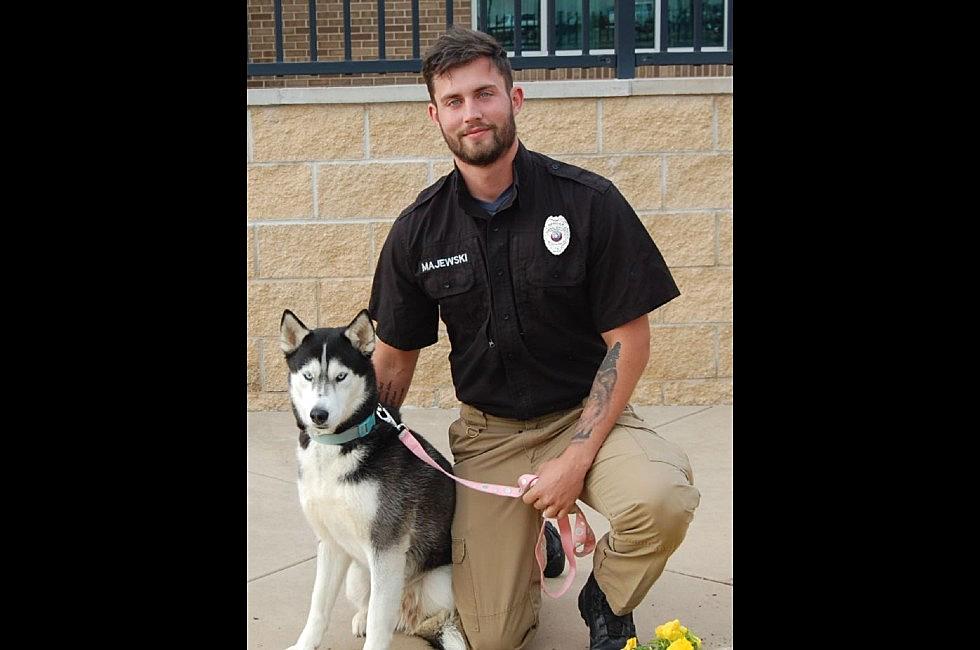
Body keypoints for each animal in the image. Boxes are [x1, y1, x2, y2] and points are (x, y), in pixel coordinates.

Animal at [280, 308, 464, 648]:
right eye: (308, 376)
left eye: (341, 376)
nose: (318, 414)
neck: (338, 446)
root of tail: (408, 614)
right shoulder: (330, 542)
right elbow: (318, 605)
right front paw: (304, 644)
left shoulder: (388, 549)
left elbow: (381, 621)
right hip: (358, 574)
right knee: (374, 605)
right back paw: (363, 617)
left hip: (441, 581)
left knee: (431, 617)